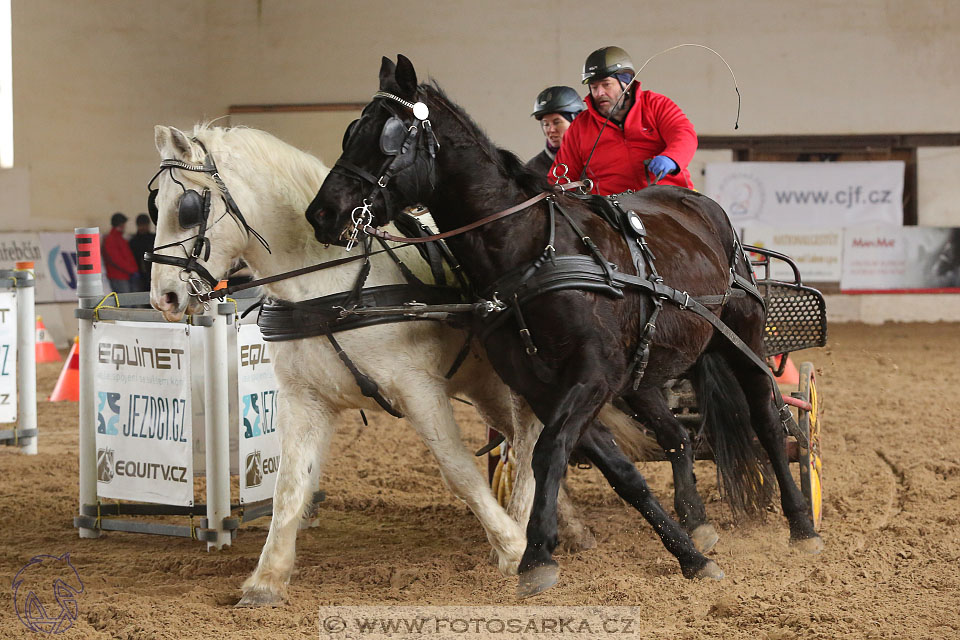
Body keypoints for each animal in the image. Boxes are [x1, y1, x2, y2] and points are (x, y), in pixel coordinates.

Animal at [150, 124, 648, 604]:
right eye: (155, 206)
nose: (163, 298)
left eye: (187, 207)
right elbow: (290, 485)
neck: (329, 285)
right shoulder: (304, 399)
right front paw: (266, 580)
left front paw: (512, 548)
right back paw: (571, 528)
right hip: (488, 387)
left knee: (529, 443)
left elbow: (458, 470)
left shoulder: (417, 389)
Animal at [312, 53, 820, 596]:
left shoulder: (590, 376)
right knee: (677, 437)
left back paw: (802, 525)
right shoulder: (545, 385)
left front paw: (536, 554)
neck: (529, 250)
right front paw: (687, 553)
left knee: (769, 425)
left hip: (742, 341)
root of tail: (704, 208)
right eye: (351, 130)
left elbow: (548, 450)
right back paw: (698, 520)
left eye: (388, 135)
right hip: (645, 374)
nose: (321, 213)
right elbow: (619, 471)